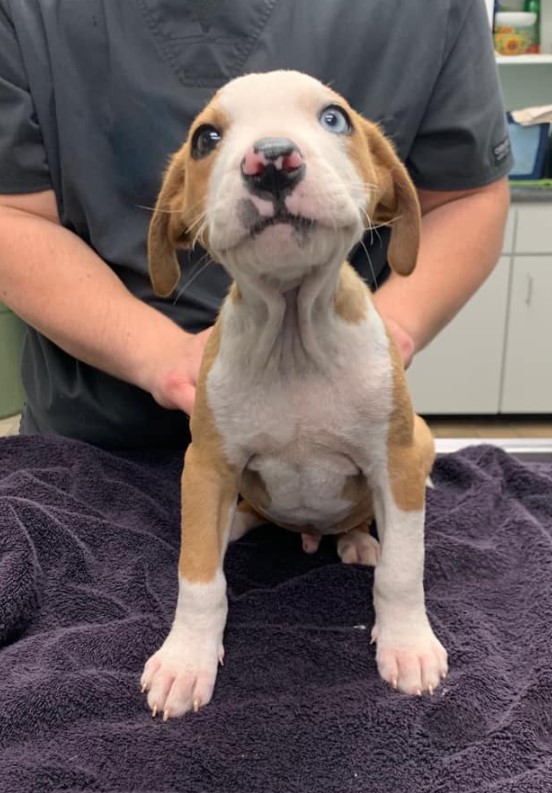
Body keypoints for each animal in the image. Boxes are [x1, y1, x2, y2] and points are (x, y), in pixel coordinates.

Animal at [140, 71, 446, 720]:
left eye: (334, 119)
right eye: (206, 139)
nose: (273, 159)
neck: (293, 341)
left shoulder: (397, 459)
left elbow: (403, 571)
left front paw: (408, 644)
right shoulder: (206, 467)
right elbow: (199, 578)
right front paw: (185, 659)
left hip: (422, 443)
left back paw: (357, 540)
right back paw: (237, 521)